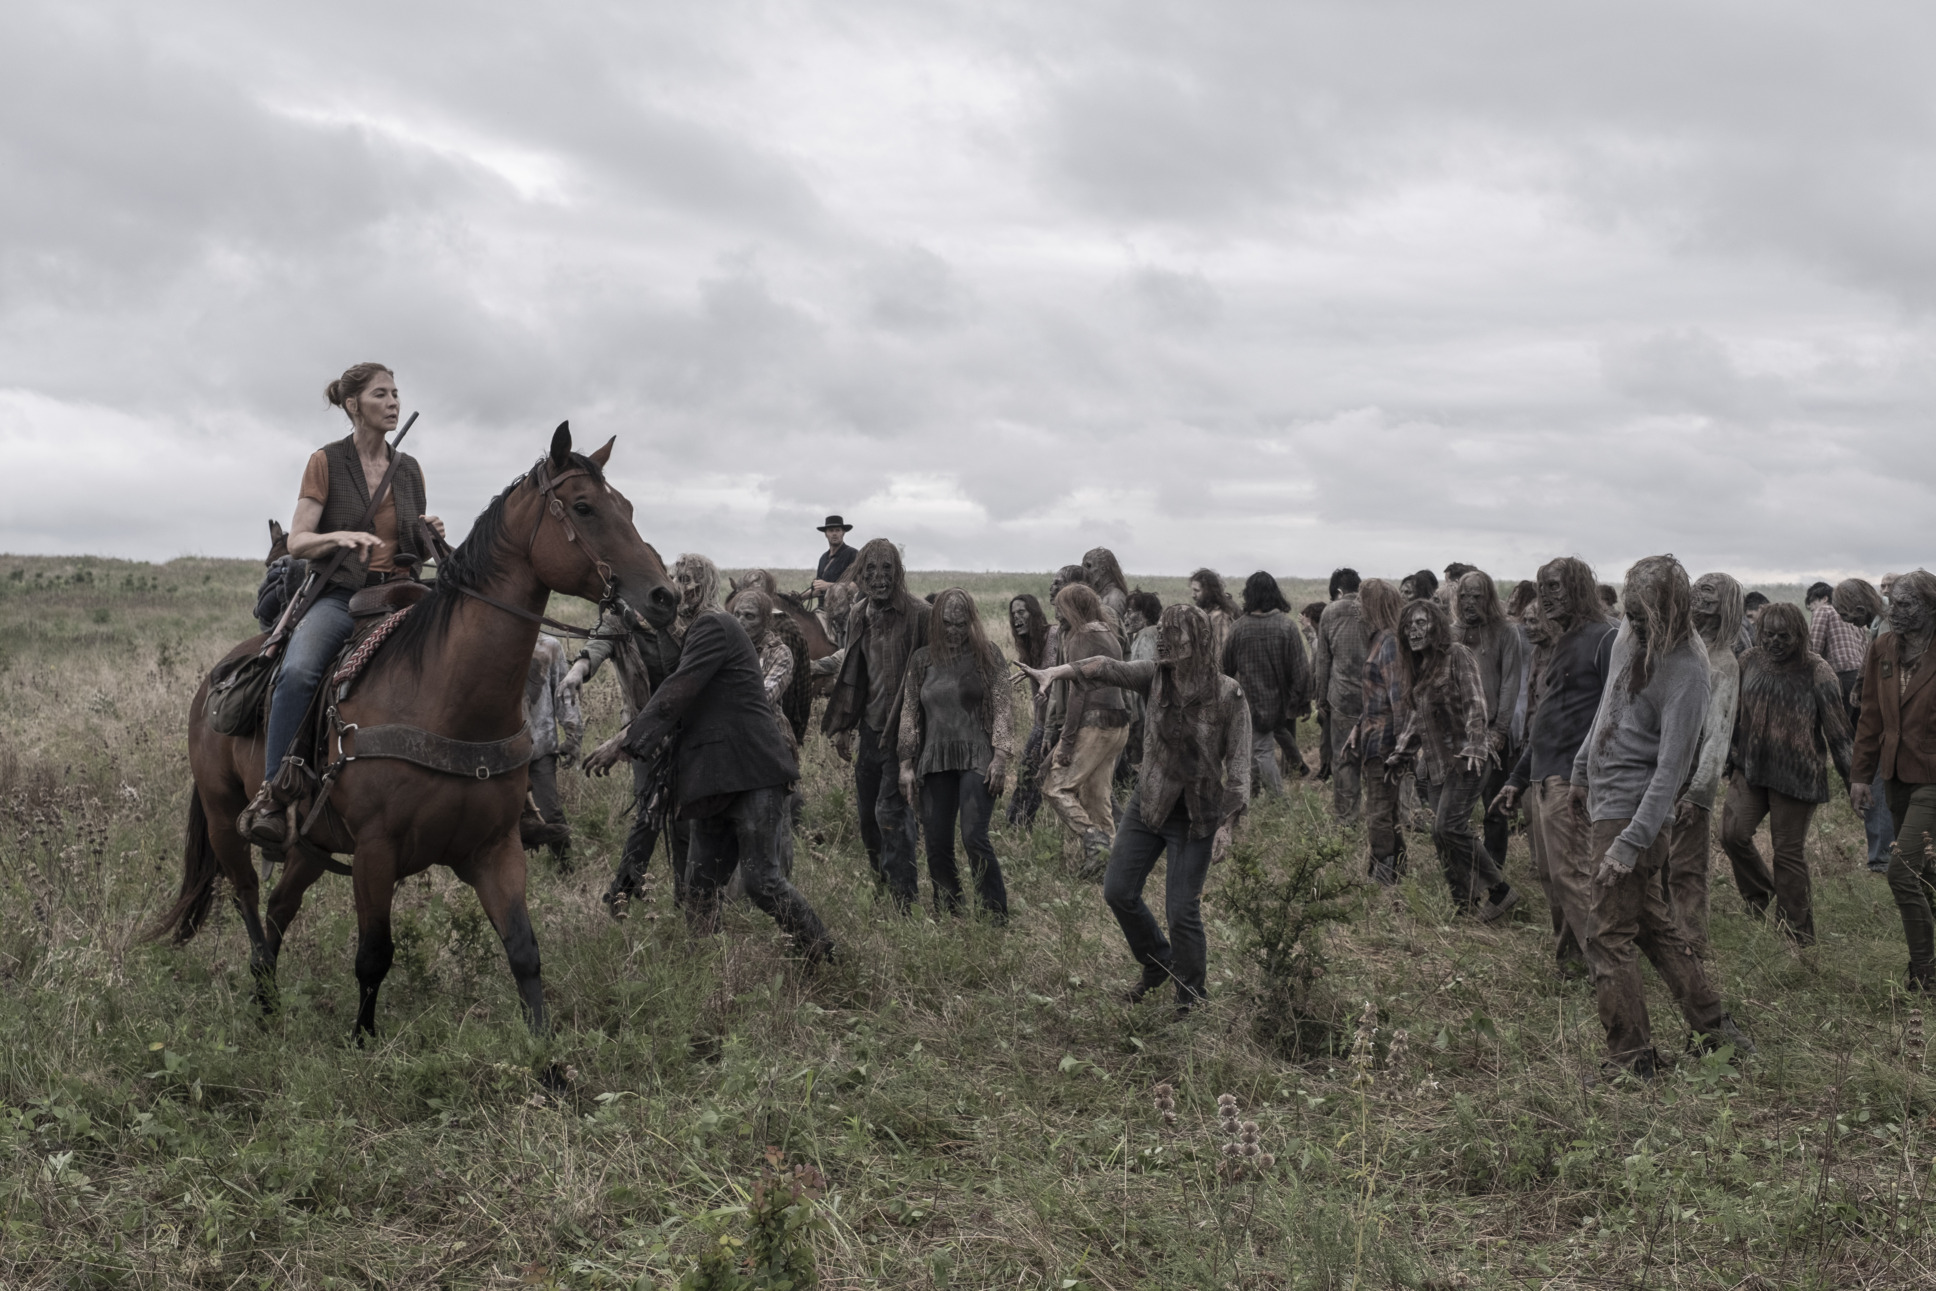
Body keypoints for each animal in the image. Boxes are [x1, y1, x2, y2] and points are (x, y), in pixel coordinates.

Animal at [154, 429, 677, 1045]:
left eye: (629, 508)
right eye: (583, 507)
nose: (665, 597)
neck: (446, 696)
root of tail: (218, 676)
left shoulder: (496, 849)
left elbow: (524, 950)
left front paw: (545, 1051)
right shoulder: (376, 853)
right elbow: (374, 956)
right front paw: (362, 1041)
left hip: (310, 844)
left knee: (281, 907)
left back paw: (269, 998)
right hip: (223, 820)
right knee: (249, 899)